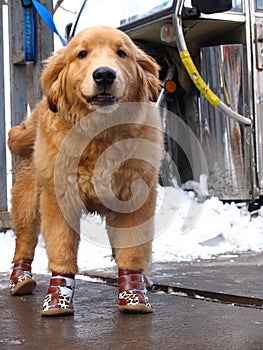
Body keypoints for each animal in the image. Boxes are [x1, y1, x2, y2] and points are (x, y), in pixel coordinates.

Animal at [8, 26, 164, 316]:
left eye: (122, 53)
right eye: (82, 54)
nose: (104, 74)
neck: (99, 135)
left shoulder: (134, 199)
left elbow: (132, 250)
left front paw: (134, 293)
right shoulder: (59, 200)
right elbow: (62, 251)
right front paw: (58, 298)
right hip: (27, 203)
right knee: (24, 242)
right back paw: (20, 279)